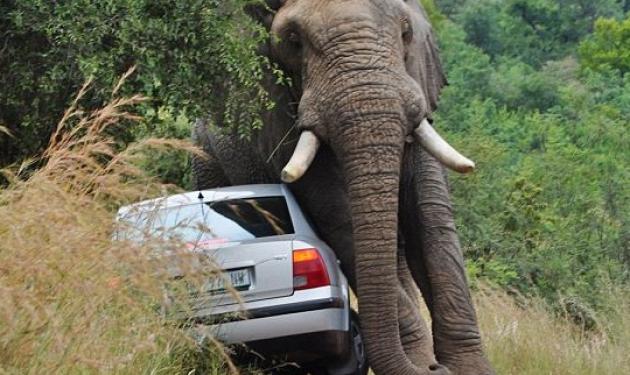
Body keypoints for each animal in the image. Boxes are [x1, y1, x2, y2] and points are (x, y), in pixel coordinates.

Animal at [190, 0, 496, 375]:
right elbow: (338, 215)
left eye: (406, 32)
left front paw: (468, 367)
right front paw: (425, 363)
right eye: (293, 42)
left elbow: (430, 211)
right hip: (206, 158)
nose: (436, 369)